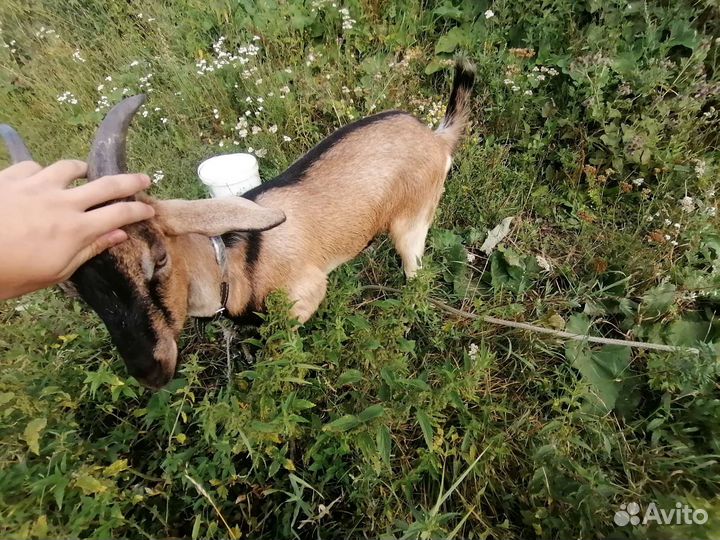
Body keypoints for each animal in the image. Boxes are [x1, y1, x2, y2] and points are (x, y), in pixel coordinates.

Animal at [1, 59, 475, 388]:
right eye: (71, 288)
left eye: (158, 258)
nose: (151, 371)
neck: (231, 262)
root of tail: (436, 138)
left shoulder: (306, 294)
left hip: (414, 219)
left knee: (416, 269)